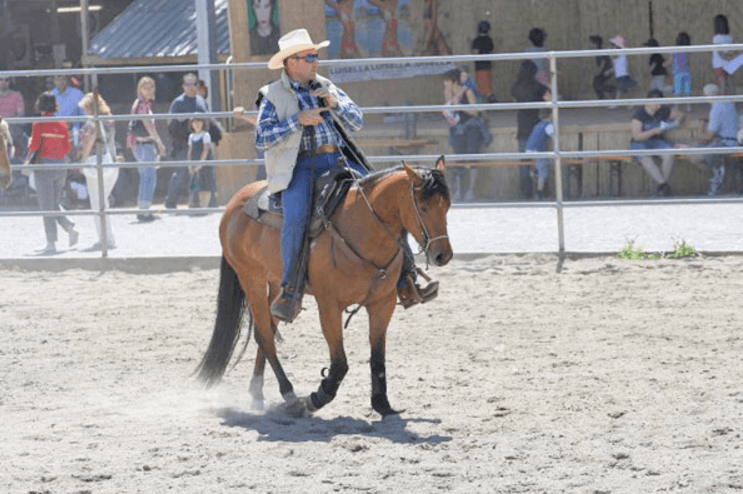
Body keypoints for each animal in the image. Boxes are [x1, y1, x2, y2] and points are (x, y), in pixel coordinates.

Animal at [195, 156, 453, 417]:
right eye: (423, 207)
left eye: (447, 206)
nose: (443, 255)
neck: (361, 228)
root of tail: (234, 203)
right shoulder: (329, 306)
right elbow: (339, 363)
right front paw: (316, 398)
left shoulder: (383, 303)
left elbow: (377, 357)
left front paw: (382, 404)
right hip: (251, 279)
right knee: (265, 336)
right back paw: (289, 395)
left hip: (276, 285)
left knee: (265, 330)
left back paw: (257, 393)